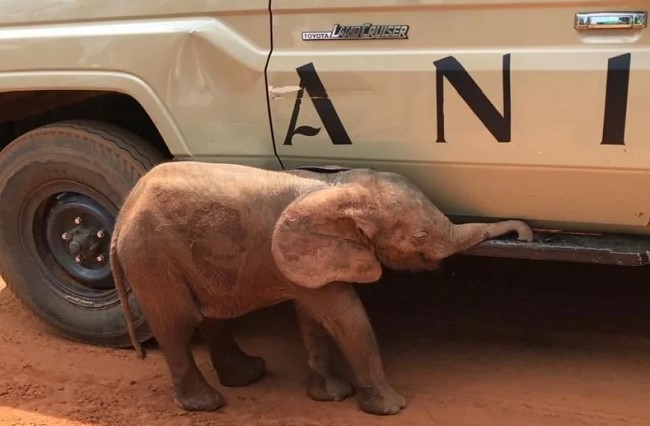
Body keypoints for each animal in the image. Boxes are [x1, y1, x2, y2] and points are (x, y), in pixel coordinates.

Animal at [110, 162, 533, 416]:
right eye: (420, 237)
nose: (525, 235)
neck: (337, 186)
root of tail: (120, 218)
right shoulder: (302, 255)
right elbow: (345, 315)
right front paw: (391, 409)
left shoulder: (310, 262)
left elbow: (313, 317)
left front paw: (331, 397)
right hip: (150, 254)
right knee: (178, 324)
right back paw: (207, 405)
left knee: (210, 316)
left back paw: (249, 375)